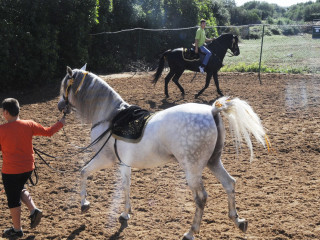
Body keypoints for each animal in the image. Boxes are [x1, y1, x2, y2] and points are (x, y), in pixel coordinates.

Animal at [58, 66, 268, 240]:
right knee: (229, 183)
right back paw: (238, 221)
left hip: (192, 169)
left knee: (201, 198)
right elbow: (124, 185)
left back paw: (190, 232)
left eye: (64, 86)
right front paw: (125, 212)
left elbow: (85, 172)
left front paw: (86, 204)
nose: (60, 106)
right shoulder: (124, 164)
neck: (110, 118)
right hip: (213, 162)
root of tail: (212, 111)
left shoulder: (106, 159)